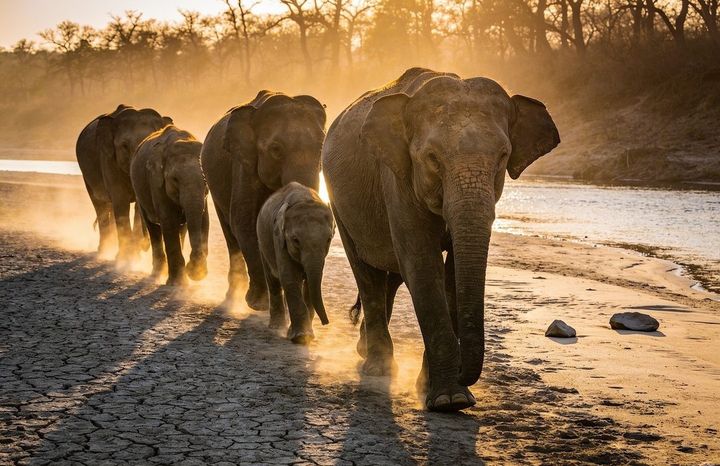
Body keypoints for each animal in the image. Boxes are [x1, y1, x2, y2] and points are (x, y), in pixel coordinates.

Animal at [76, 105, 173, 264]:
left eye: (150, 144)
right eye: (125, 146)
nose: (144, 246)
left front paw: (136, 254)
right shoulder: (108, 158)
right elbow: (120, 200)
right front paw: (126, 257)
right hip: (86, 174)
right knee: (100, 205)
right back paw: (104, 251)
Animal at [130, 125, 209, 286]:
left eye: (205, 180)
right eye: (175, 179)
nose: (193, 269)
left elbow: (204, 220)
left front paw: (196, 273)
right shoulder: (156, 182)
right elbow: (169, 221)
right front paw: (177, 283)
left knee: (181, 229)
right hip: (140, 194)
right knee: (153, 229)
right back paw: (157, 275)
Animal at [201, 90, 327, 310]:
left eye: (320, 148)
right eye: (276, 150)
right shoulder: (243, 163)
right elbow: (244, 221)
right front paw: (258, 304)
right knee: (230, 232)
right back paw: (234, 295)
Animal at [257, 182, 333, 344]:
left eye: (329, 239)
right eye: (296, 240)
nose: (326, 322)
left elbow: (310, 283)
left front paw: (306, 336)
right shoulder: (279, 239)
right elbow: (290, 278)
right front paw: (301, 337)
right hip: (262, 242)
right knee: (273, 280)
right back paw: (276, 327)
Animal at [322, 67, 560, 412]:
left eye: (503, 157)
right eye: (432, 158)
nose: (463, 371)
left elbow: (452, 276)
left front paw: (440, 391)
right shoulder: (397, 178)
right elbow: (423, 265)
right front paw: (450, 400)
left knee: (390, 278)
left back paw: (365, 350)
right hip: (339, 203)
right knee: (366, 273)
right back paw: (377, 367)